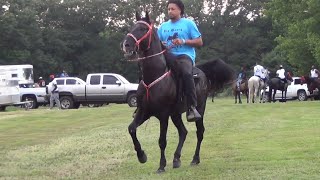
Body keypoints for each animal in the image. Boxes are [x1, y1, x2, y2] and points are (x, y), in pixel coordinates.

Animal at [121, 12, 234, 173]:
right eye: (132, 27)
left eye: (143, 29)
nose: (126, 45)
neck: (154, 77)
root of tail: (202, 72)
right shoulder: (144, 111)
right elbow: (131, 129)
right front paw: (141, 156)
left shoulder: (163, 115)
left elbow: (162, 141)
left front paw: (161, 166)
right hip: (175, 114)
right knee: (183, 132)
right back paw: (176, 159)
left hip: (200, 109)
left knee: (199, 132)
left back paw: (195, 159)